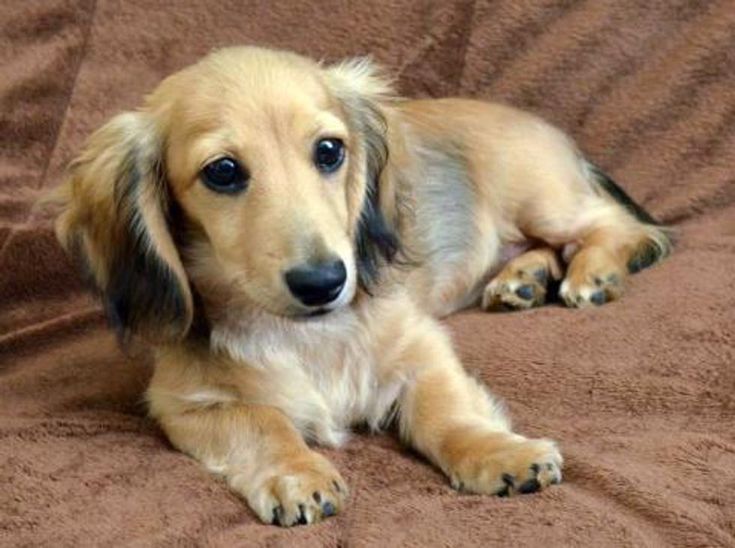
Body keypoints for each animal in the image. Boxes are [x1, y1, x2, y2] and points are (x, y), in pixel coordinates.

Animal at [49, 46, 672, 528]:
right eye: (222, 171)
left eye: (329, 150)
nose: (324, 282)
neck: (305, 334)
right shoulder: (185, 403)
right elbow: (264, 423)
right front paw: (297, 473)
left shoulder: (423, 351)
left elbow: (447, 413)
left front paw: (500, 452)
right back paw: (523, 279)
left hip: (543, 201)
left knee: (626, 228)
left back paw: (593, 274)